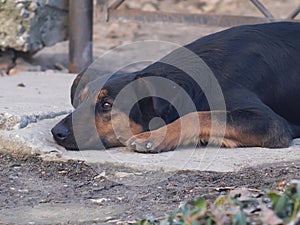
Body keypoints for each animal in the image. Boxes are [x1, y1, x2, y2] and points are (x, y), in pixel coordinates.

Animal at [51, 22, 300, 153]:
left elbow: (199, 115)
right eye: (79, 101)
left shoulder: (270, 124)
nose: (57, 132)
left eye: (106, 105)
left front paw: (155, 136)